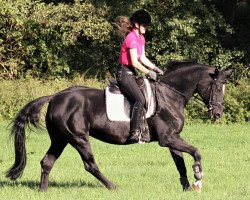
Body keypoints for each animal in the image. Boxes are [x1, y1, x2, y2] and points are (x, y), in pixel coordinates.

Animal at [5, 61, 232, 192]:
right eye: (217, 88)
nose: (217, 114)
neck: (170, 95)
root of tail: (55, 97)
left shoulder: (172, 138)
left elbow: (180, 162)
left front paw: (186, 187)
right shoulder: (168, 138)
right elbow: (196, 151)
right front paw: (198, 177)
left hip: (61, 139)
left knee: (47, 162)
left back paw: (43, 191)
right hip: (78, 138)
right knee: (90, 165)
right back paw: (113, 186)